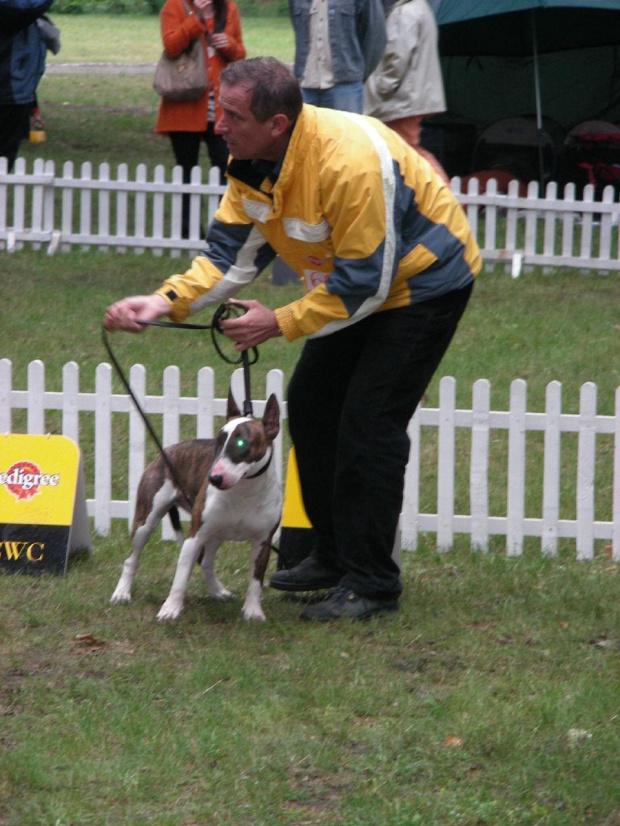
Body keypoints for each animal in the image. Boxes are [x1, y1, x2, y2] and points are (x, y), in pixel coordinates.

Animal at [110, 392, 282, 616]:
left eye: (242, 443)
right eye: (218, 441)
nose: (214, 478)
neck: (245, 491)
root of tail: (168, 450)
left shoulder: (263, 540)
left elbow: (255, 579)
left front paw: (253, 612)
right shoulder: (195, 536)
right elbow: (180, 577)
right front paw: (170, 610)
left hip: (216, 534)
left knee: (206, 562)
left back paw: (218, 591)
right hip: (146, 521)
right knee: (132, 558)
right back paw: (122, 593)